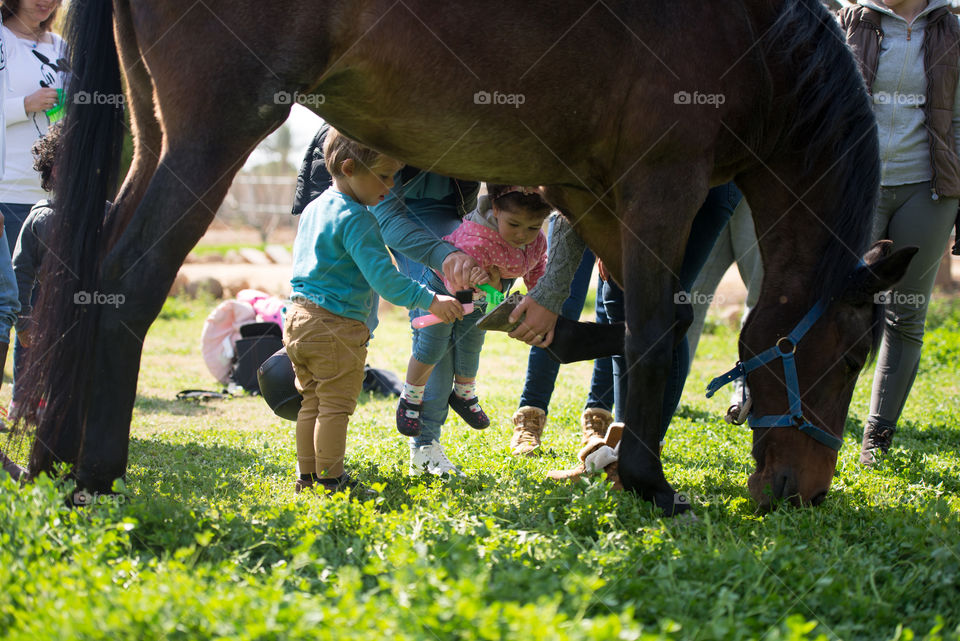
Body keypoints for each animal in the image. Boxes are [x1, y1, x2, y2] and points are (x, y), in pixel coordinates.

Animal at [18, 0, 912, 512]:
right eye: (848, 356)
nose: (805, 494)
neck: (752, 39)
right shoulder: (663, 184)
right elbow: (658, 335)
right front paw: (651, 484)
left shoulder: (593, 192)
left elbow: (621, 330)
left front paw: (616, 453)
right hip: (215, 128)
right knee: (128, 279)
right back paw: (96, 476)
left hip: (154, 129)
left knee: (85, 275)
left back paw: (50, 457)